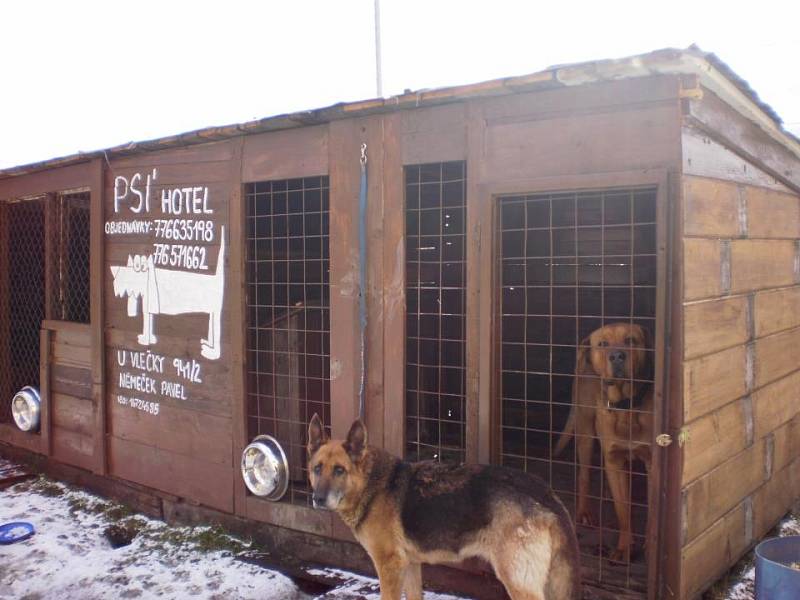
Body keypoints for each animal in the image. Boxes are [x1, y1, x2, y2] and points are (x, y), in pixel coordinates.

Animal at [308, 414, 580, 600]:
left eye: (340, 470)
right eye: (317, 469)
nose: (317, 499)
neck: (372, 484)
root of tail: (545, 493)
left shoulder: (390, 566)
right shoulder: (410, 565)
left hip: (517, 580)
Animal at [552, 324, 652, 564]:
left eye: (631, 340)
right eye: (603, 344)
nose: (617, 356)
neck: (626, 407)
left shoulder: (653, 462)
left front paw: (650, 545)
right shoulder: (614, 461)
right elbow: (622, 509)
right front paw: (625, 548)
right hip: (586, 434)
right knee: (584, 475)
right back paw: (584, 512)